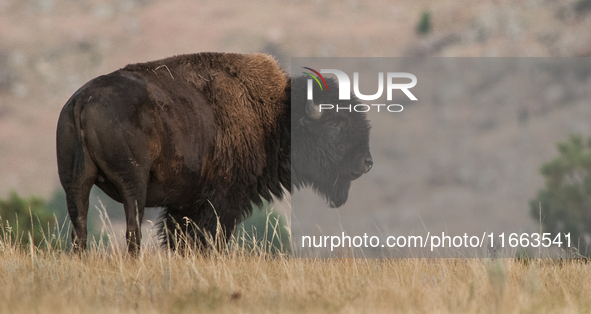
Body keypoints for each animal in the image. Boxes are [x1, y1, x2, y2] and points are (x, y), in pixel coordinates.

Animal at [55, 52, 370, 254]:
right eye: (335, 124)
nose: (366, 162)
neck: (274, 115)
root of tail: (83, 100)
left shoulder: (183, 205)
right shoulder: (221, 201)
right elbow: (209, 239)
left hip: (75, 184)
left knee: (79, 228)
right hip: (133, 186)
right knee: (132, 230)